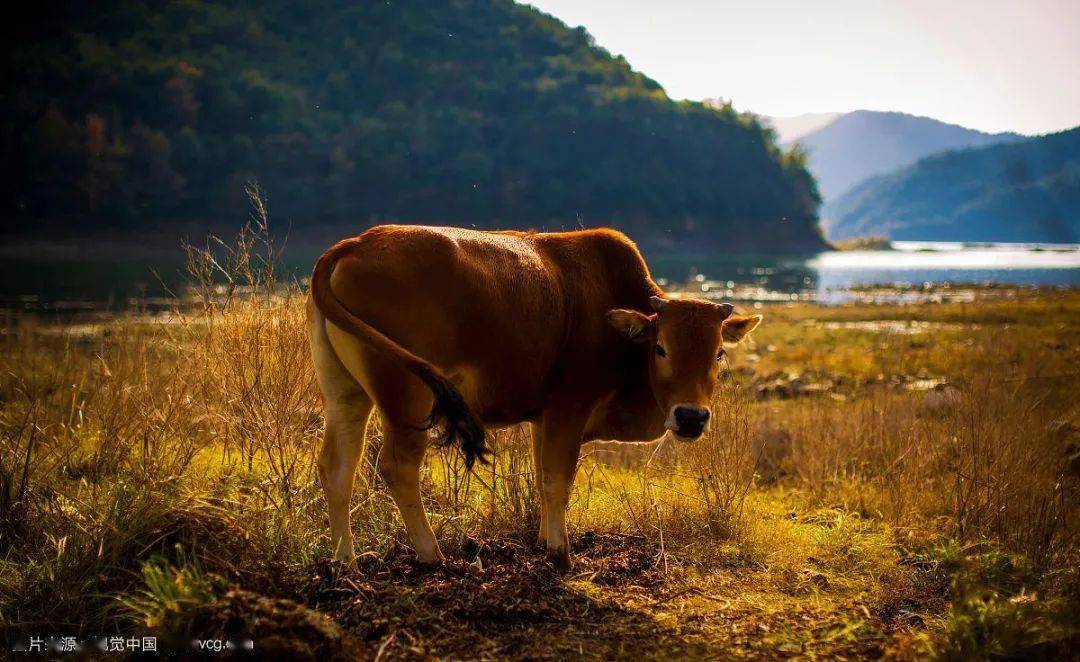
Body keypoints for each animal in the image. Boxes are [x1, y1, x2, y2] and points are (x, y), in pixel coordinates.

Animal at [308, 225, 764, 565]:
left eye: (719, 352)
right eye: (661, 348)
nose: (691, 417)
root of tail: (356, 243)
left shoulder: (543, 418)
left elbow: (544, 476)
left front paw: (545, 540)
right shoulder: (568, 410)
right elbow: (556, 479)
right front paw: (560, 553)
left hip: (347, 394)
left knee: (336, 468)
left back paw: (345, 560)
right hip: (408, 400)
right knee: (396, 467)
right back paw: (430, 553)